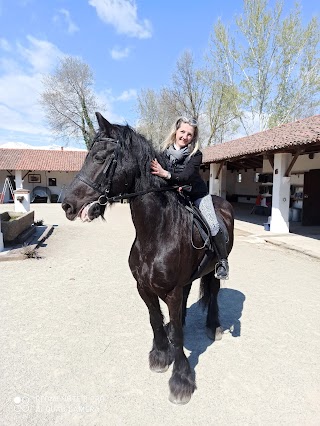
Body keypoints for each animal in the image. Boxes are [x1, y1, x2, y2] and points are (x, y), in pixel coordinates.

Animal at [61, 112, 234, 402]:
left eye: (99, 158)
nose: (67, 205)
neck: (156, 232)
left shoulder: (172, 291)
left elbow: (178, 335)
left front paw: (181, 379)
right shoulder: (143, 287)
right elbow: (155, 320)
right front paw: (161, 354)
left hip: (214, 270)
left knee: (213, 292)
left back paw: (214, 326)